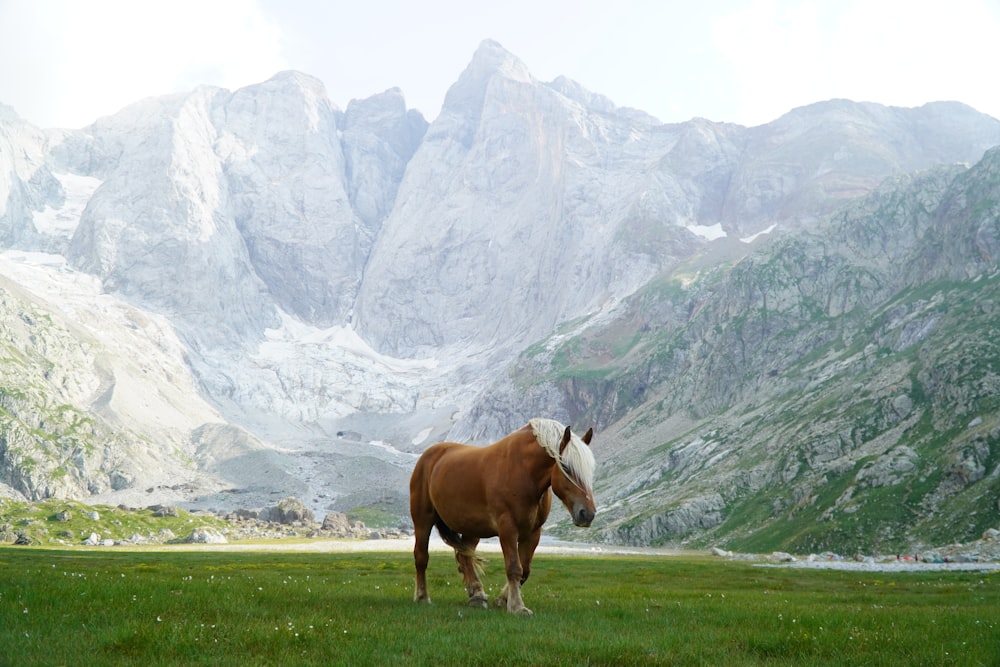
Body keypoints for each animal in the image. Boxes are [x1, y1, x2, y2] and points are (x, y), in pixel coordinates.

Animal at [406, 418, 592, 616]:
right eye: (566, 467)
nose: (587, 514)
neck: (523, 471)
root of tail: (429, 456)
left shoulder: (533, 533)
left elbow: (525, 570)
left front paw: (503, 599)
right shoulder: (508, 528)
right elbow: (514, 568)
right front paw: (517, 606)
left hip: (473, 529)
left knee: (464, 556)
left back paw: (477, 594)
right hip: (422, 520)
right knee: (421, 557)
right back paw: (422, 597)